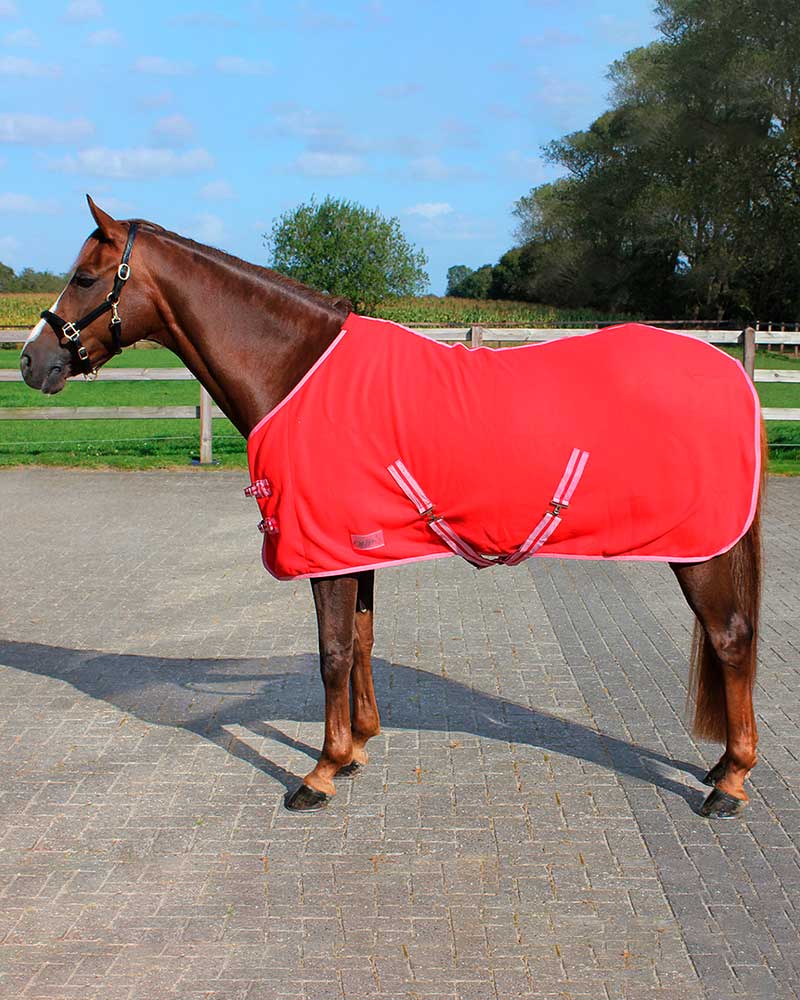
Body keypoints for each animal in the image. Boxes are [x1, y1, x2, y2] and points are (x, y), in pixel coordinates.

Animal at [19, 197, 766, 819]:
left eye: (84, 277)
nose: (32, 361)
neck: (297, 369)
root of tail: (732, 372)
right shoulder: (356, 544)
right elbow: (361, 642)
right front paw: (355, 749)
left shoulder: (324, 550)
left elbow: (330, 652)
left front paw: (319, 772)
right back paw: (721, 768)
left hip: (698, 550)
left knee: (729, 638)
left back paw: (729, 783)